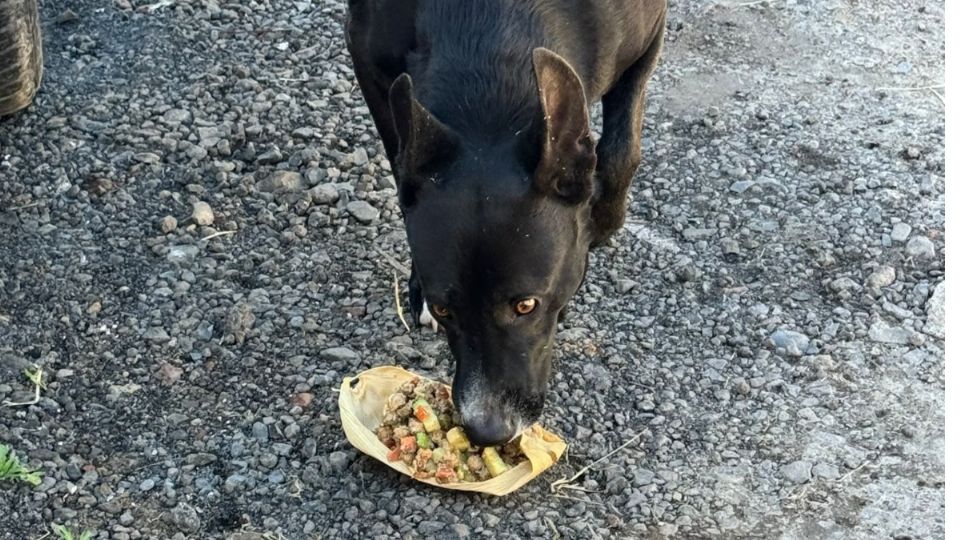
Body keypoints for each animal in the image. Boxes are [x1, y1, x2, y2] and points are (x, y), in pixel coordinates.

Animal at [344, 0, 668, 446]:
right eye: (444, 308)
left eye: (526, 305)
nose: (488, 431)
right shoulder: (366, 53)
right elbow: (399, 160)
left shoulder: (649, 38)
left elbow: (622, 151)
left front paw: (594, 232)